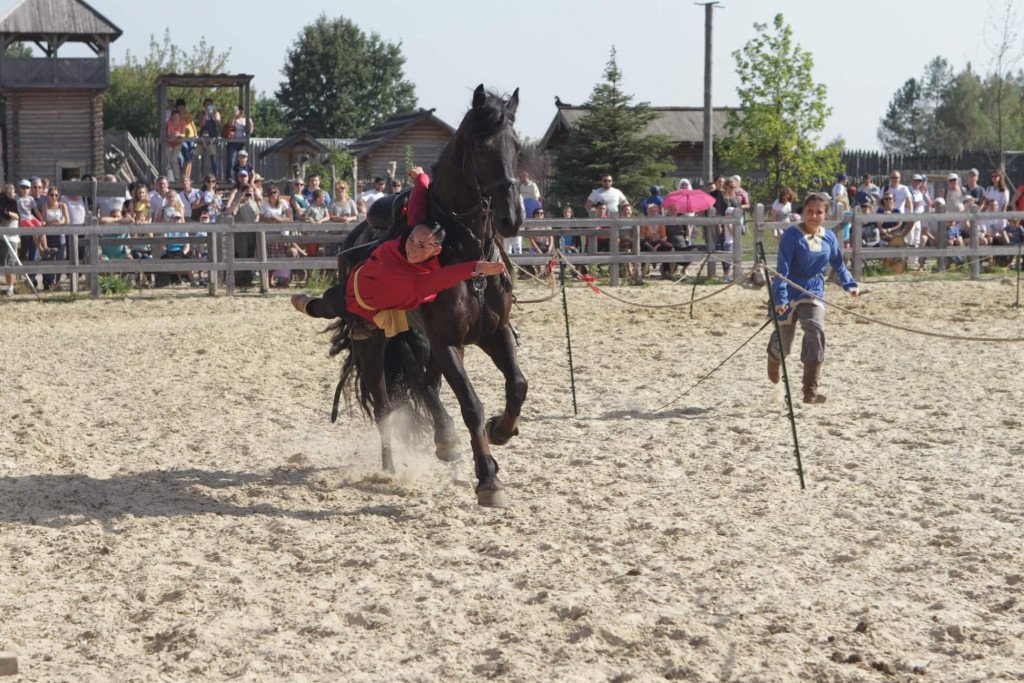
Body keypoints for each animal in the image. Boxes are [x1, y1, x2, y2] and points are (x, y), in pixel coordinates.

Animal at [329, 85, 524, 509]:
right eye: (481, 147)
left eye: (517, 146)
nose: (512, 218)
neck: (465, 251)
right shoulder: (446, 340)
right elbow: (469, 403)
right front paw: (488, 480)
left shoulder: (493, 332)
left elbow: (517, 385)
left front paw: (501, 429)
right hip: (375, 345)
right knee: (388, 403)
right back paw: (393, 466)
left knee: (425, 384)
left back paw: (446, 441)